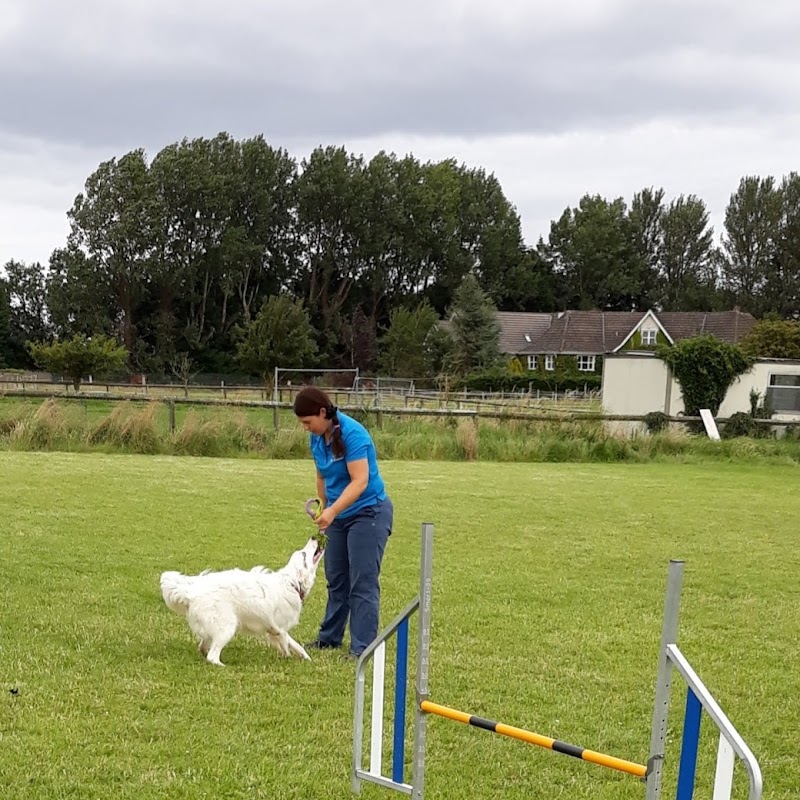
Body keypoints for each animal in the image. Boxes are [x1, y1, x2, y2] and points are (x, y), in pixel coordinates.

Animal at [159, 536, 322, 668]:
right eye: (303, 554)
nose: (314, 537)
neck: (291, 582)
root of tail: (192, 593)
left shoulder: (276, 629)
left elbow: (296, 645)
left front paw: (306, 658)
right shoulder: (279, 629)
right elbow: (286, 645)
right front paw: (287, 657)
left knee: (203, 647)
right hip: (227, 628)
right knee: (212, 656)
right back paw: (223, 666)